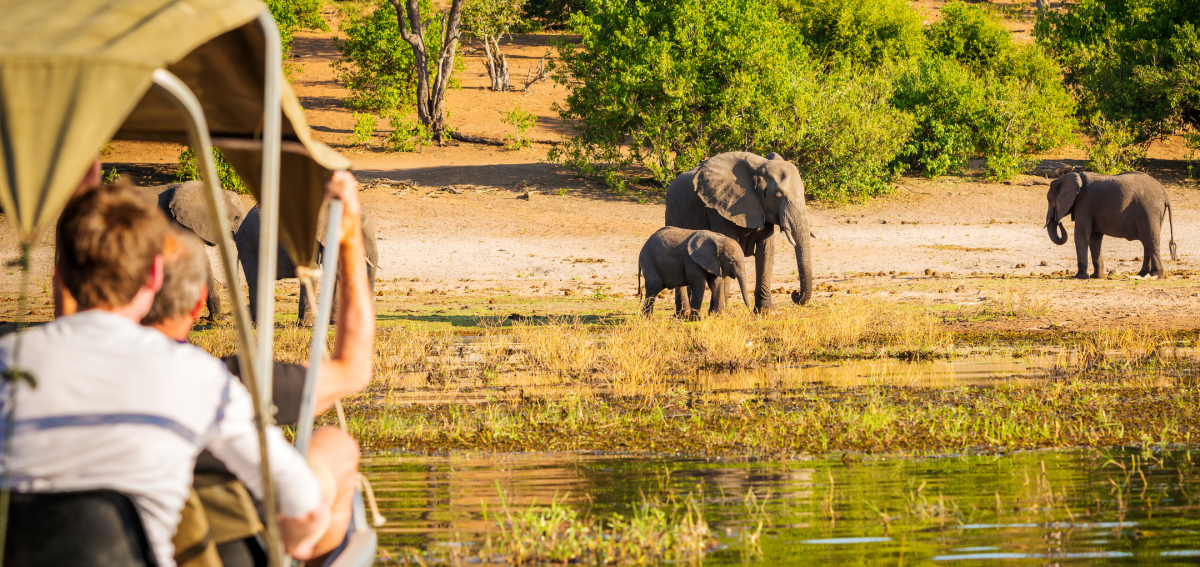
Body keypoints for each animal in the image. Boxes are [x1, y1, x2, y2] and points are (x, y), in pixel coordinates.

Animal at [236, 201, 376, 324]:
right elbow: (312, 269)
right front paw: (307, 325)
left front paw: (334, 323)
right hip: (248, 245)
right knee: (256, 279)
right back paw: (257, 324)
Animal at [667, 150, 816, 312]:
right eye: (777, 195)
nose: (795, 294)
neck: (758, 167)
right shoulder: (720, 209)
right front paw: (720, 314)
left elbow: (766, 251)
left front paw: (766, 312)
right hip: (670, 214)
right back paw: (684, 313)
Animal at [1046, 171, 1176, 279]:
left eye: (1049, 200)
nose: (1059, 221)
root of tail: (1165, 194)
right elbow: (1095, 239)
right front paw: (1098, 277)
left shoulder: (1083, 205)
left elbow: (1081, 235)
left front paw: (1080, 277)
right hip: (1154, 214)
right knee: (1147, 242)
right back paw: (1142, 274)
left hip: (1149, 211)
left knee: (1150, 240)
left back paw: (1156, 275)